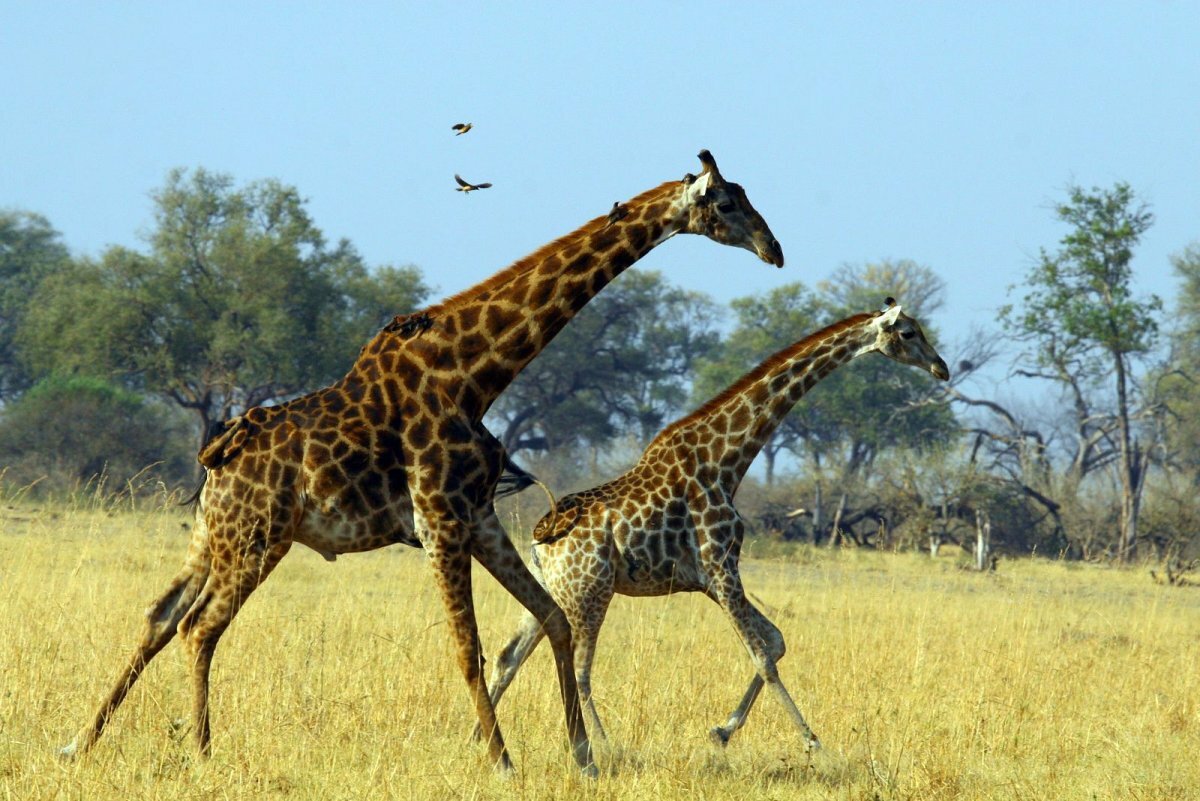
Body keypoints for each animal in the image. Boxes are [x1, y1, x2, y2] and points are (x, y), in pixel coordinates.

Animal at [60, 151, 785, 776]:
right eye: (726, 201)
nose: (773, 249)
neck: (474, 374)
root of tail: (217, 452)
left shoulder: (478, 515)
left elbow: (549, 620)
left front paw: (583, 756)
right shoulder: (438, 518)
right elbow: (467, 648)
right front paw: (501, 760)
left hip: (216, 532)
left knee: (160, 615)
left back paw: (81, 740)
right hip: (259, 536)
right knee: (199, 626)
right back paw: (203, 750)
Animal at [478, 300, 949, 751]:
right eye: (909, 332)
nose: (941, 367)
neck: (726, 460)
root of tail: (540, 539)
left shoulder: (708, 579)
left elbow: (777, 641)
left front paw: (722, 731)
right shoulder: (722, 568)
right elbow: (763, 657)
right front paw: (813, 742)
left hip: (554, 590)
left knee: (508, 656)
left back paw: (479, 739)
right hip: (589, 591)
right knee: (579, 667)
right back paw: (606, 748)